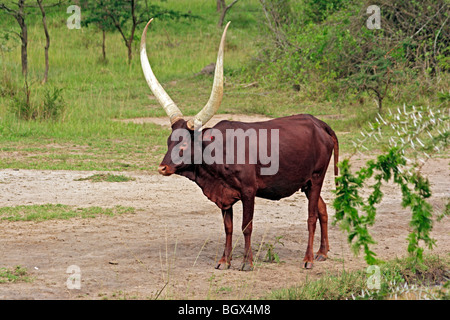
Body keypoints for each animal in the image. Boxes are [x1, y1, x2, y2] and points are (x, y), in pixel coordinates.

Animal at [141, 19, 338, 270]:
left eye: (184, 145)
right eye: (169, 141)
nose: (162, 168)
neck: (217, 152)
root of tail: (318, 123)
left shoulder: (249, 191)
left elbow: (246, 227)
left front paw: (247, 263)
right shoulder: (224, 196)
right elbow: (228, 228)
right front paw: (224, 260)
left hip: (316, 178)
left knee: (312, 216)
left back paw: (309, 259)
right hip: (305, 182)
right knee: (323, 209)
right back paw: (322, 252)